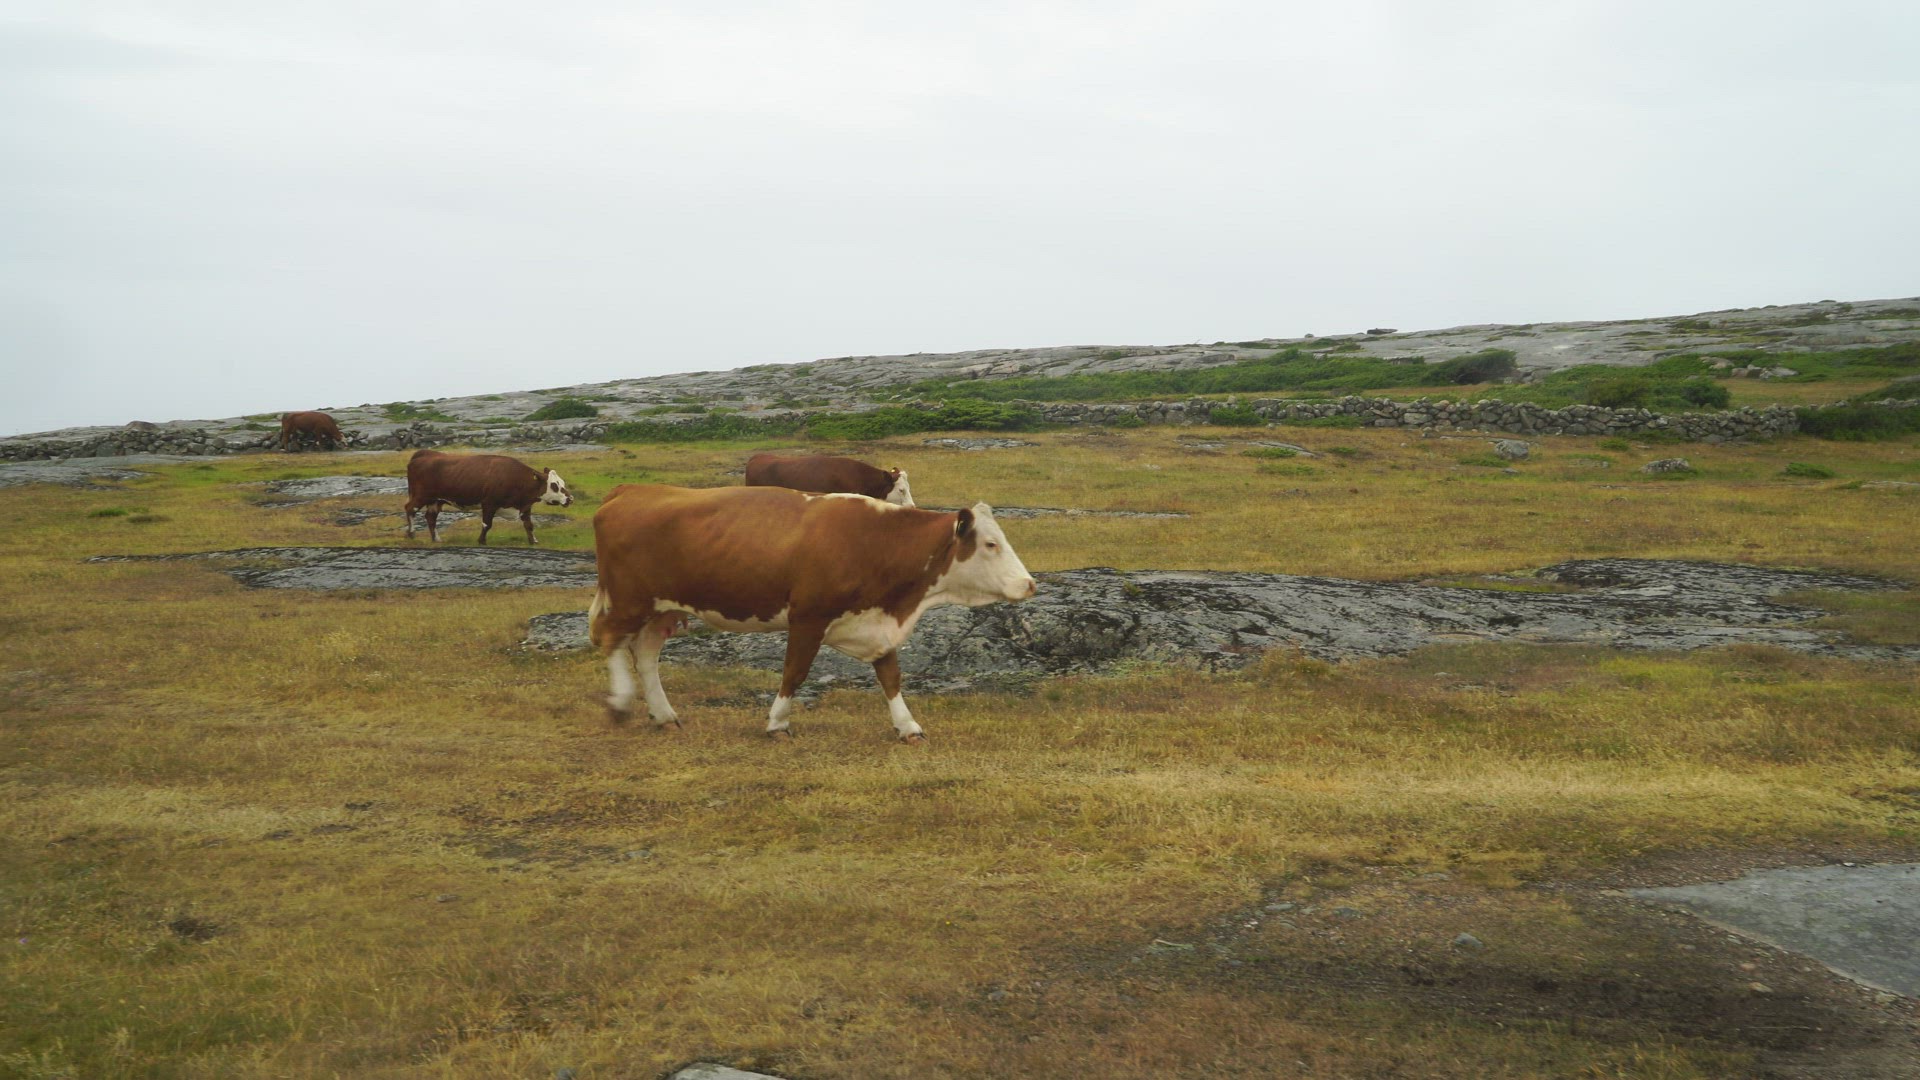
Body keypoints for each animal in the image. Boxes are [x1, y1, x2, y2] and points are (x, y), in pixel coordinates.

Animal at [404, 449, 572, 544]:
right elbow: (487, 524)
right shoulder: (489, 504)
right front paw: (481, 541)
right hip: (422, 495)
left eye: (562, 483)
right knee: (410, 508)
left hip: (436, 500)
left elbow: (529, 525)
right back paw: (411, 534)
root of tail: (424, 454)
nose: (570, 499)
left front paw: (533, 541)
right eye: (555, 485)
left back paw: (436, 539)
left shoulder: (525, 506)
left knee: (430, 517)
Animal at [589, 484, 1035, 743]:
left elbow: (890, 677)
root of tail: (628, 491)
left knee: (646, 655)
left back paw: (664, 715)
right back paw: (621, 703)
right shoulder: (808, 618)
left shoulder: (877, 621)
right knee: (609, 640)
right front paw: (777, 724)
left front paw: (908, 726)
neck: (875, 541)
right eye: (991, 544)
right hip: (630, 601)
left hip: (661, 609)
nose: (1029, 583)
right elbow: (795, 672)